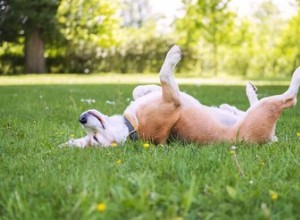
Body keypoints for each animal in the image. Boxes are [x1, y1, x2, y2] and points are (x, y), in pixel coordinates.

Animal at [61, 45, 300, 148]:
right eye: (95, 139)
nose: (82, 119)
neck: (131, 127)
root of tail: (269, 139)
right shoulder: (172, 99)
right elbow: (164, 75)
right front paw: (173, 55)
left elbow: (138, 89)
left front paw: (145, 89)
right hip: (265, 109)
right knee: (289, 98)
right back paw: (296, 73)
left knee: (246, 105)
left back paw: (239, 98)